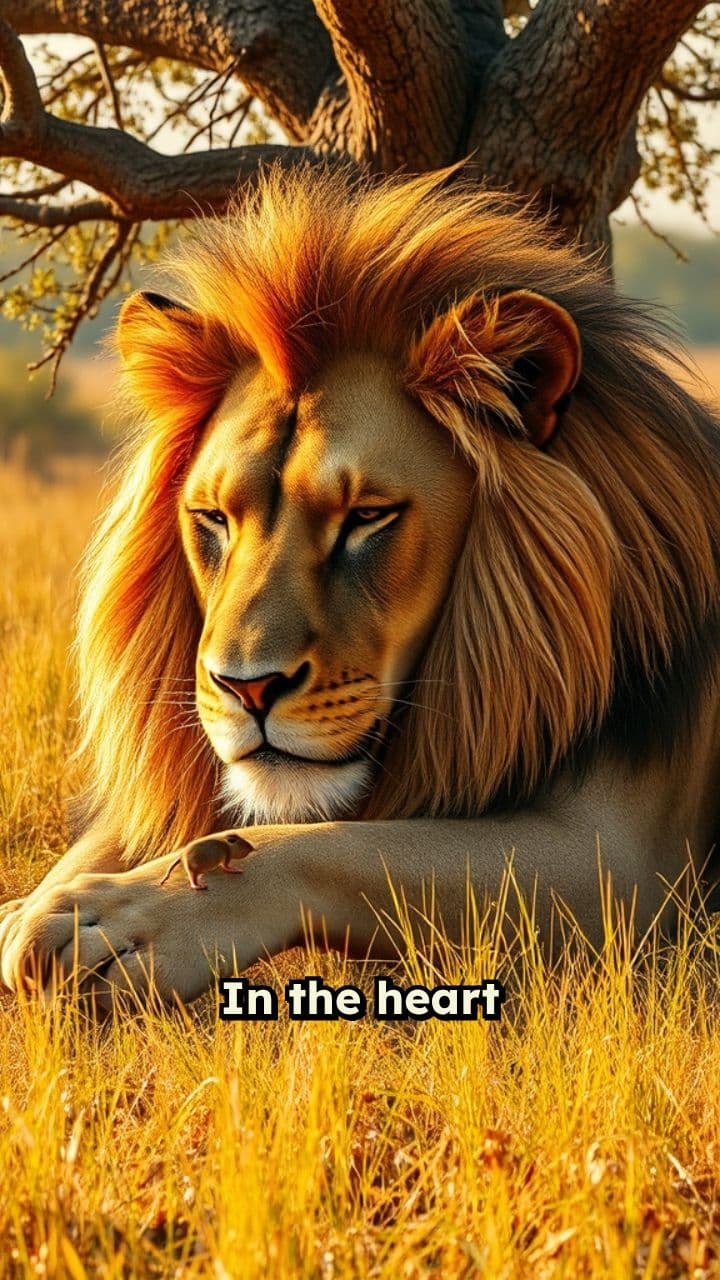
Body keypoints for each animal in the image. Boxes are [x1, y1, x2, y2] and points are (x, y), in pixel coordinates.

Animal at [2, 165, 720, 1007]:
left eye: (367, 517)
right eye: (212, 517)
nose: (245, 688)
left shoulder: (630, 861)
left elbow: (332, 843)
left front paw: (123, 917)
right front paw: (37, 906)